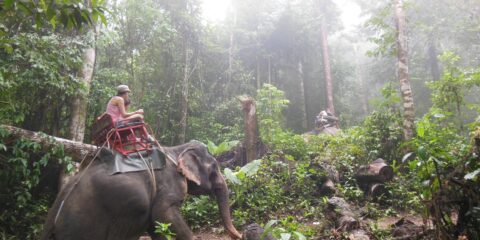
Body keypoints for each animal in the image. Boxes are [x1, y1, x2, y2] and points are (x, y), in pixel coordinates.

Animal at [40, 141, 242, 240]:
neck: (176, 150)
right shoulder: (168, 186)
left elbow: (157, 226)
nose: (239, 235)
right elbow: (164, 214)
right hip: (82, 227)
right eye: (214, 168)